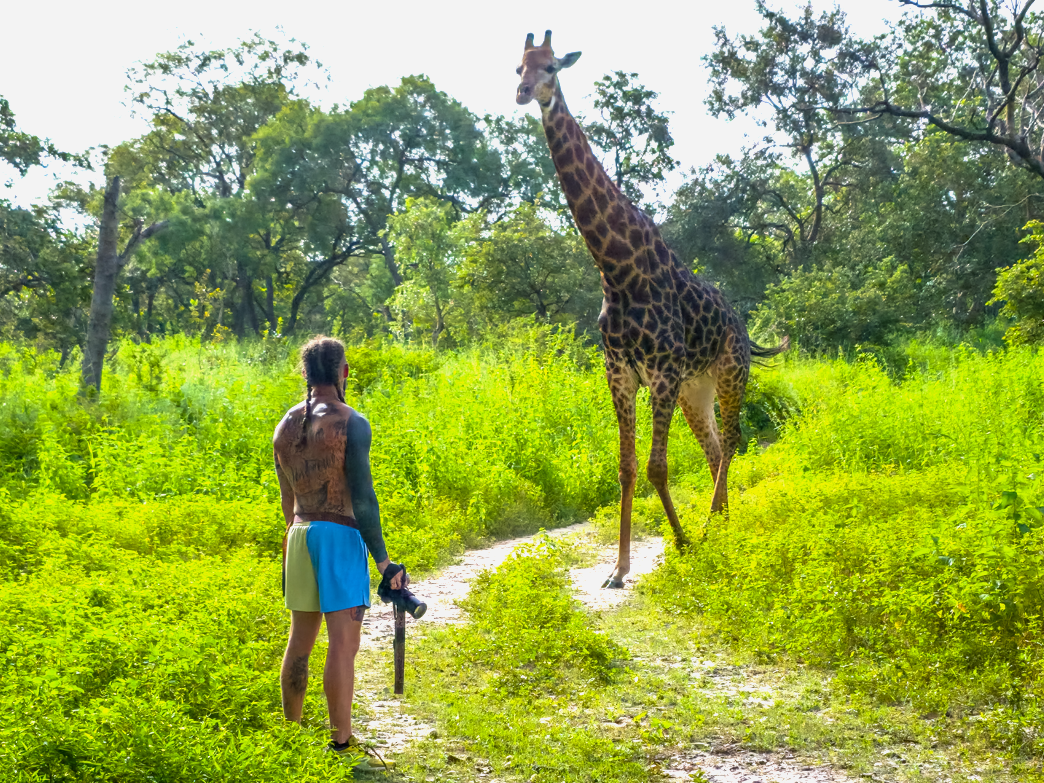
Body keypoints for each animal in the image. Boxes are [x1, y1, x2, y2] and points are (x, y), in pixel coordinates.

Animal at [515, 31, 786, 588]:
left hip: (729, 373)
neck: (616, 266)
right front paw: (618, 569)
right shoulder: (619, 372)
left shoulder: (660, 370)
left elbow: (658, 467)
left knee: (734, 439)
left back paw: (709, 528)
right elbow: (627, 467)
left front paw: (681, 544)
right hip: (694, 389)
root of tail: (743, 326)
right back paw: (720, 523)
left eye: (552, 67)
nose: (526, 93)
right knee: (714, 446)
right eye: (516, 68)